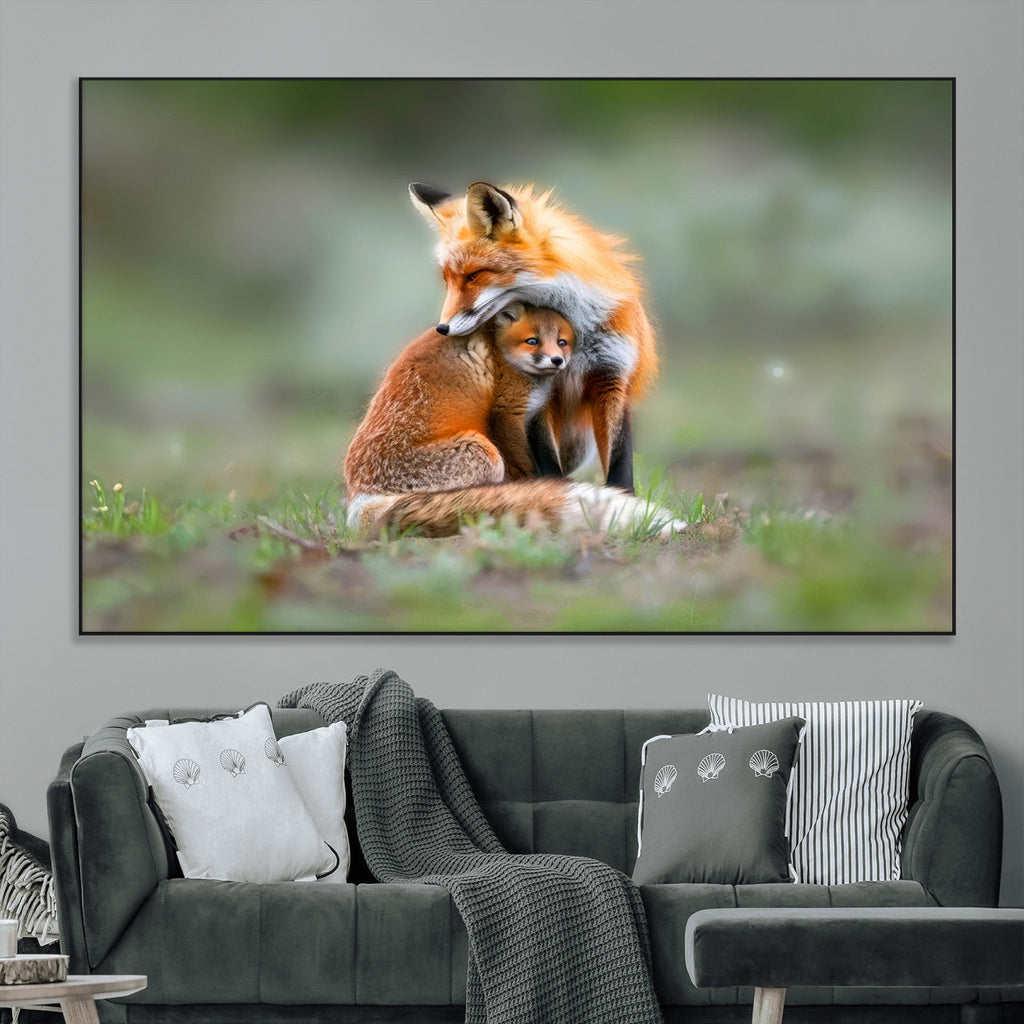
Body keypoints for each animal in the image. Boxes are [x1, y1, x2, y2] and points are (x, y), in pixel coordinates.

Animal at [409, 180, 658, 494]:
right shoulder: (540, 391)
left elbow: (620, 461)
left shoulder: (612, 377)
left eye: (474, 275)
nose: (442, 328)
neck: (575, 332)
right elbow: (547, 460)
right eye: (448, 280)